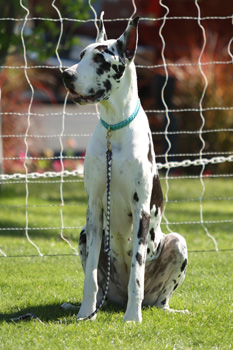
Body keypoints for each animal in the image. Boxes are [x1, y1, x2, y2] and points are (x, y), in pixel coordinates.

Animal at [62, 13, 187, 322]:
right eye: (80, 56)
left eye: (100, 58)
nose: (66, 74)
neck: (114, 129)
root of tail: (114, 300)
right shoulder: (94, 210)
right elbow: (90, 278)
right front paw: (84, 313)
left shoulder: (141, 211)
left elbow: (137, 275)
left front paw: (132, 318)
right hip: (84, 235)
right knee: (102, 288)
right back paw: (92, 306)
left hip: (177, 243)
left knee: (157, 298)